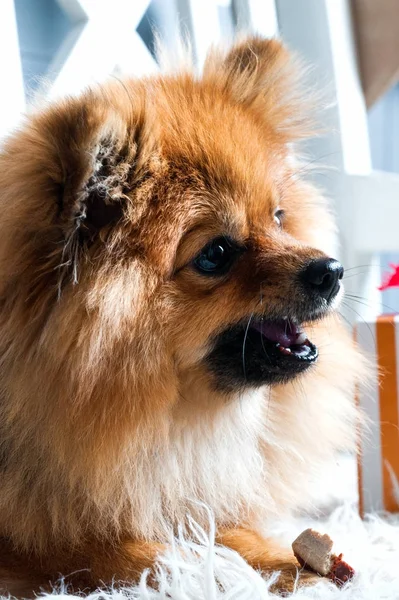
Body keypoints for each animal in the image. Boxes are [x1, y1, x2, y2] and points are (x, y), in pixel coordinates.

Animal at [0, 36, 364, 596]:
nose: (331, 269)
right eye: (215, 254)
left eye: (278, 218)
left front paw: (289, 560)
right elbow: (102, 549)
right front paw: (205, 569)